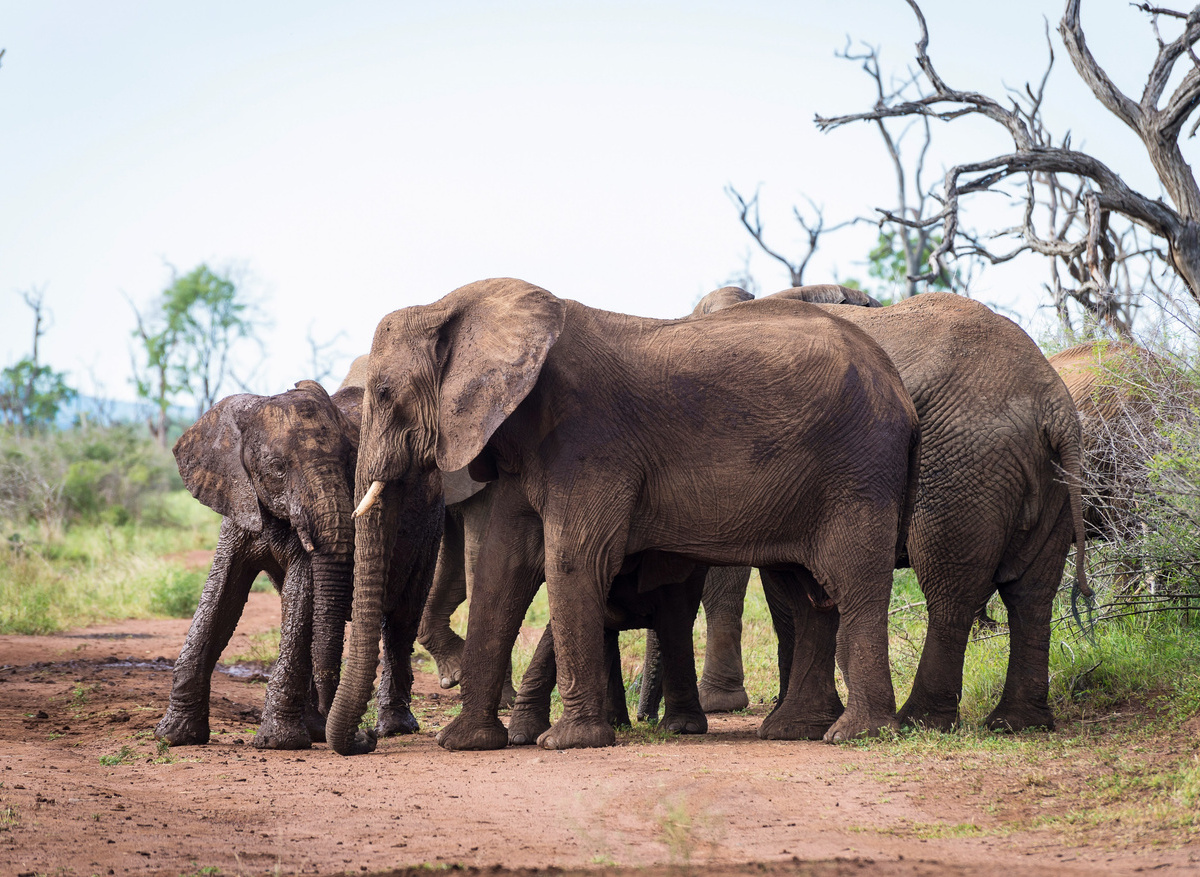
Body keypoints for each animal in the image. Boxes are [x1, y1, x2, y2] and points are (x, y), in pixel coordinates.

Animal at [324, 277, 921, 754]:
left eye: (384, 393)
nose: (366, 739)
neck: (456, 305)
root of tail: (900, 389)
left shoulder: (589, 440)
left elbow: (573, 559)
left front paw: (567, 742)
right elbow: (501, 564)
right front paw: (465, 743)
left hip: (858, 469)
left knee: (853, 582)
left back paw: (854, 734)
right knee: (806, 592)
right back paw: (795, 730)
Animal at [667, 286, 1089, 733]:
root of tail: (1053, 404)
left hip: (961, 465)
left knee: (949, 589)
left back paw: (919, 721)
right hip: (1055, 477)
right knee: (1032, 595)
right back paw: (1017, 723)